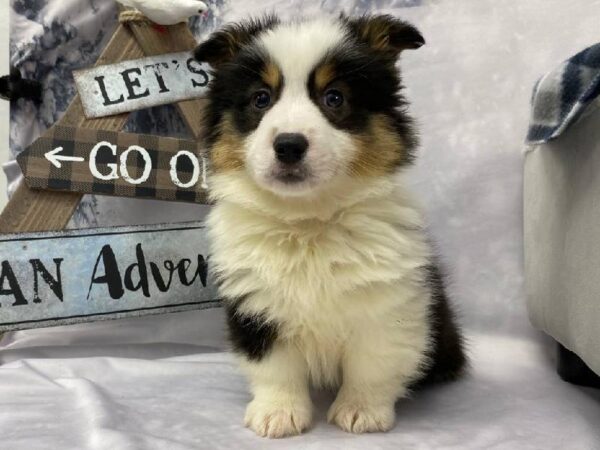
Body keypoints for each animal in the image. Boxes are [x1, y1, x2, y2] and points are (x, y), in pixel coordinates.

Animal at [195, 14, 466, 440]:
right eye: (260, 99)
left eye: (334, 98)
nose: (289, 145)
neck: (309, 223)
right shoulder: (256, 306)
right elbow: (275, 369)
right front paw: (277, 414)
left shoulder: (388, 305)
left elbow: (372, 365)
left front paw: (361, 412)